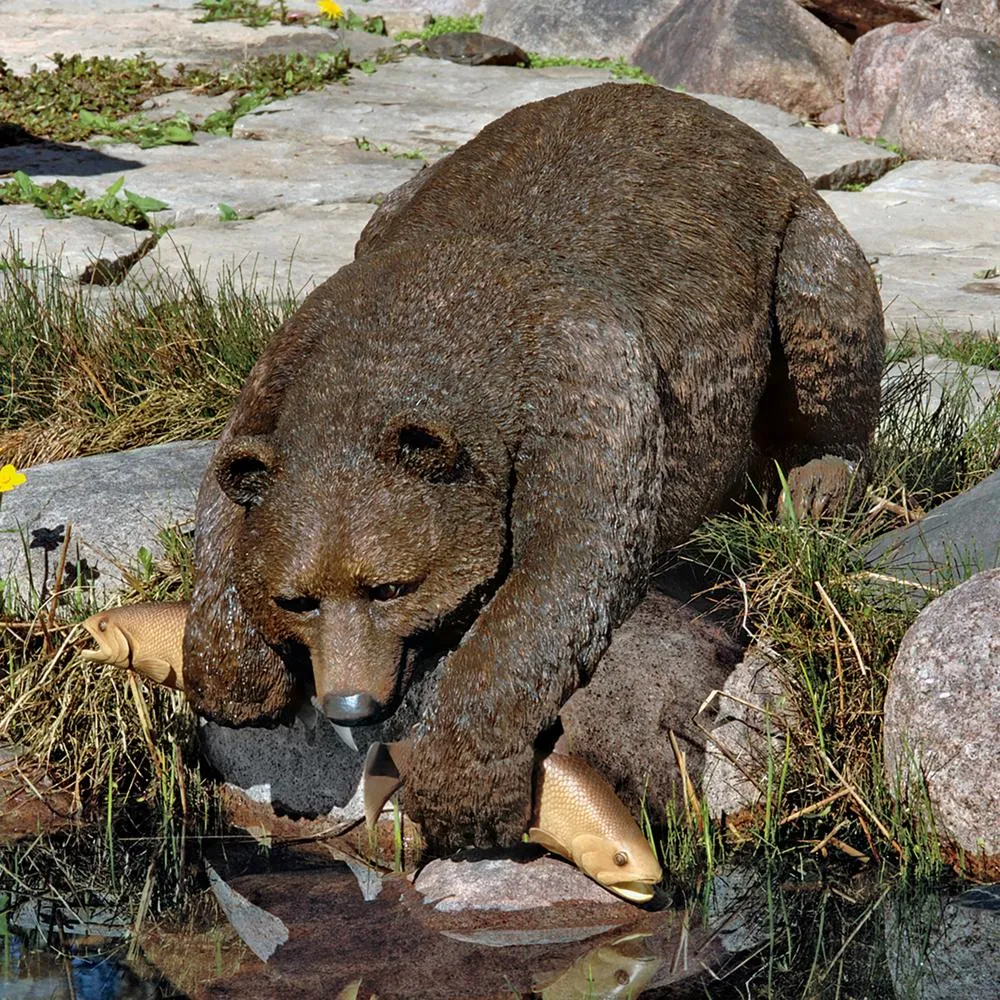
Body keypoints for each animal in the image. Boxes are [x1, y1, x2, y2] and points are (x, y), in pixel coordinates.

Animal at [182, 83, 884, 851]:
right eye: (298, 598)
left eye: (391, 587)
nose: (349, 702)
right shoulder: (286, 362)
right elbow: (222, 497)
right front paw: (238, 675)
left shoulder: (588, 385)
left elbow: (566, 572)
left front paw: (462, 790)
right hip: (393, 201)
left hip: (797, 239)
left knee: (826, 321)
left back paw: (814, 488)